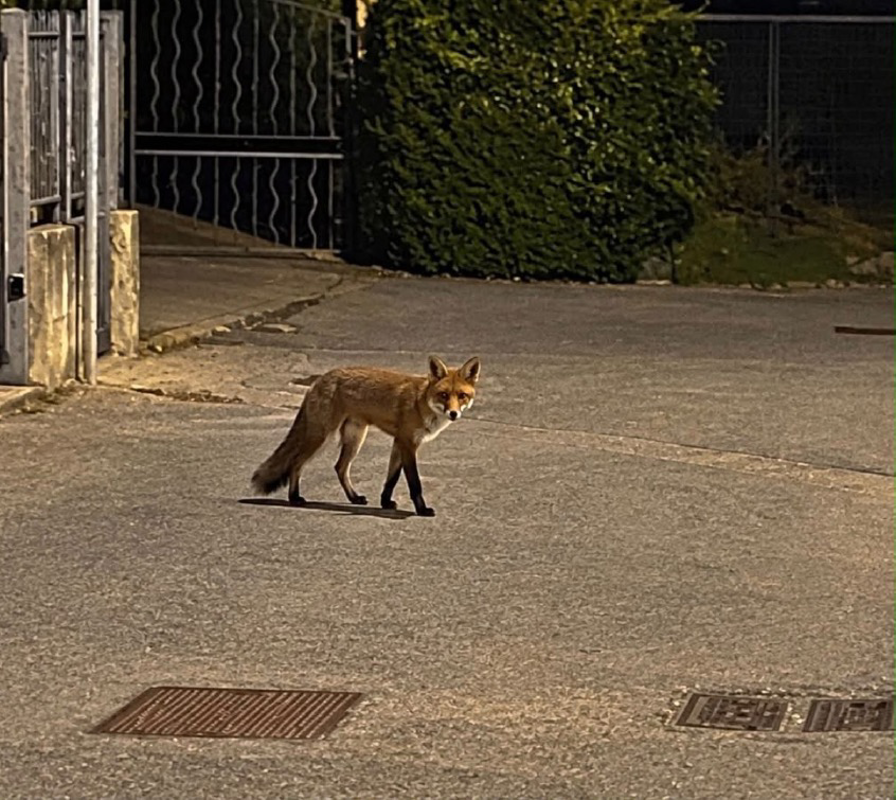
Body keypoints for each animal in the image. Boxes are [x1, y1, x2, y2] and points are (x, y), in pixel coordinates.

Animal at [250, 355, 481, 517]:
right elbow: (414, 483)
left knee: (340, 467)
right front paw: (422, 510)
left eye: (462, 396)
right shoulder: (408, 443)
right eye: (444, 395)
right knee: (296, 463)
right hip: (322, 436)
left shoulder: (399, 442)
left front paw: (385, 502)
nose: (453, 413)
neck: (421, 403)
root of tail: (320, 379)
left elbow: (391, 479)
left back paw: (354, 497)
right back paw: (294, 497)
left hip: (355, 438)